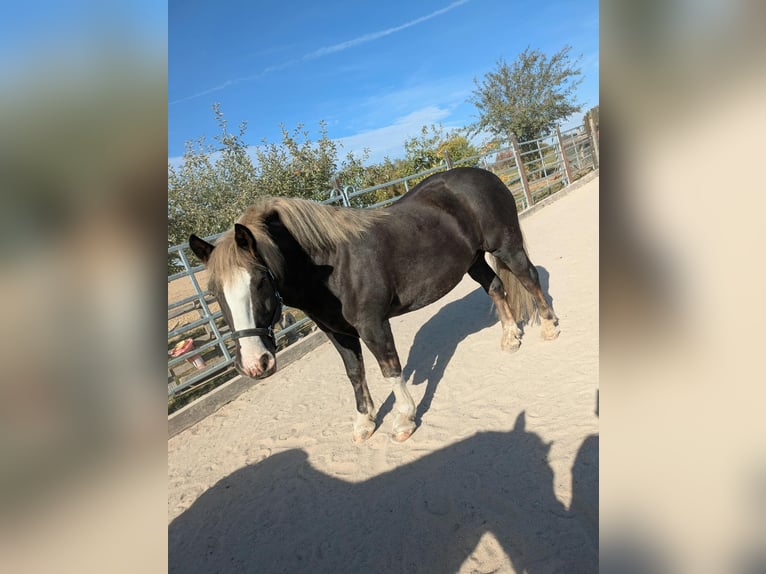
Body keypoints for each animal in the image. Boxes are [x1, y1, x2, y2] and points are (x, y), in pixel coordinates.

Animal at [189, 167, 559, 442]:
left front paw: (404, 419)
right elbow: (355, 372)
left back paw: (550, 327)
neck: (330, 265)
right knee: (496, 287)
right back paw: (510, 337)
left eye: (260, 281)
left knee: (528, 279)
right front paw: (364, 421)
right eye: (214, 293)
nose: (255, 364)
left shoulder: (372, 324)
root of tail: (485, 175)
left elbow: (389, 368)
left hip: (506, 247)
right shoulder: (338, 332)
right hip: (473, 260)